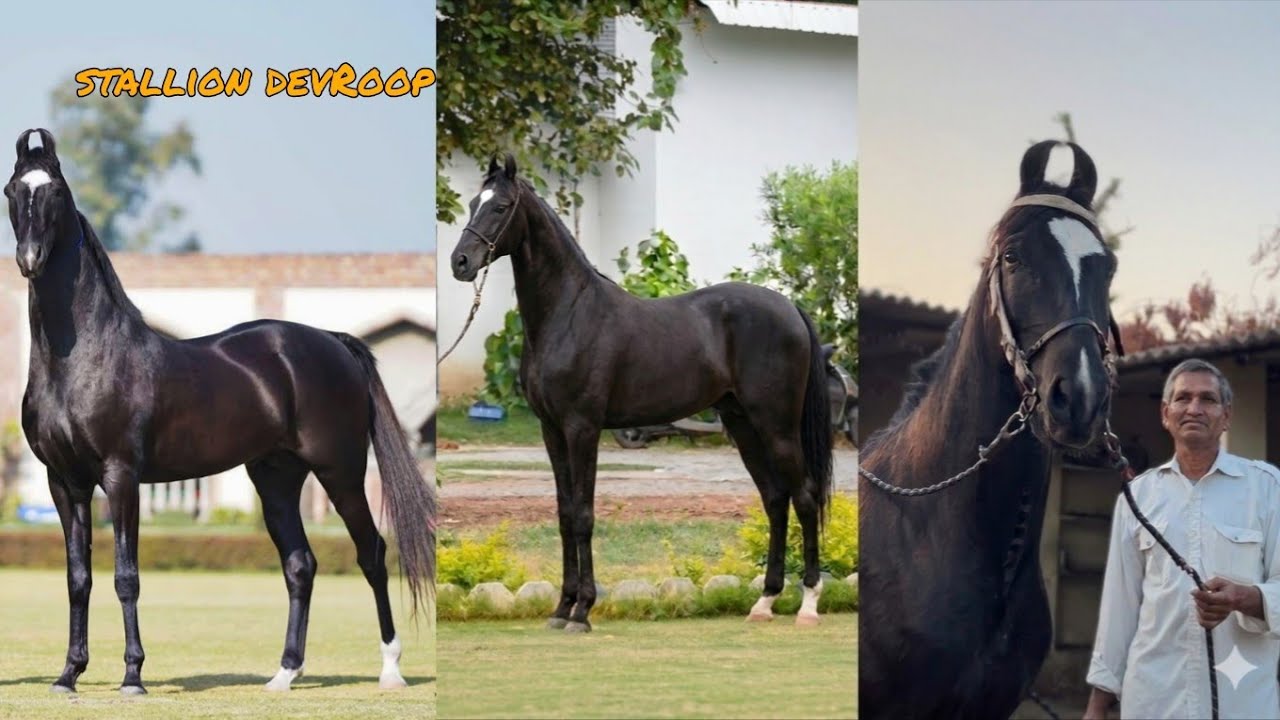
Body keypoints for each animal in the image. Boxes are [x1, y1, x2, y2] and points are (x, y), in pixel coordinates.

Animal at [3, 129, 435, 695]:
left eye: (54, 189)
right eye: (11, 189)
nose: (29, 258)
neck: (84, 357)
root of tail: (333, 341)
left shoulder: (121, 477)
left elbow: (126, 575)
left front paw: (133, 676)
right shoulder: (65, 482)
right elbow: (79, 578)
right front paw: (69, 674)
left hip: (340, 470)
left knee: (373, 554)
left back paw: (390, 670)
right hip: (276, 478)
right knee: (300, 564)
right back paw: (284, 674)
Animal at [449, 154, 834, 631]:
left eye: (500, 207)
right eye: (472, 203)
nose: (461, 262)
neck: (568, 314)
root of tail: (790, 308)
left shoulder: (582, 428)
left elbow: (583, 514)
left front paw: (582, 611)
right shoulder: (552, 431)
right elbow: (564, 514)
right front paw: (561, 608)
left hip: (776, 424)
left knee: (804, 495)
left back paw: (808, 603)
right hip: (743, 424)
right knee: (775, 499)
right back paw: (765, 601)